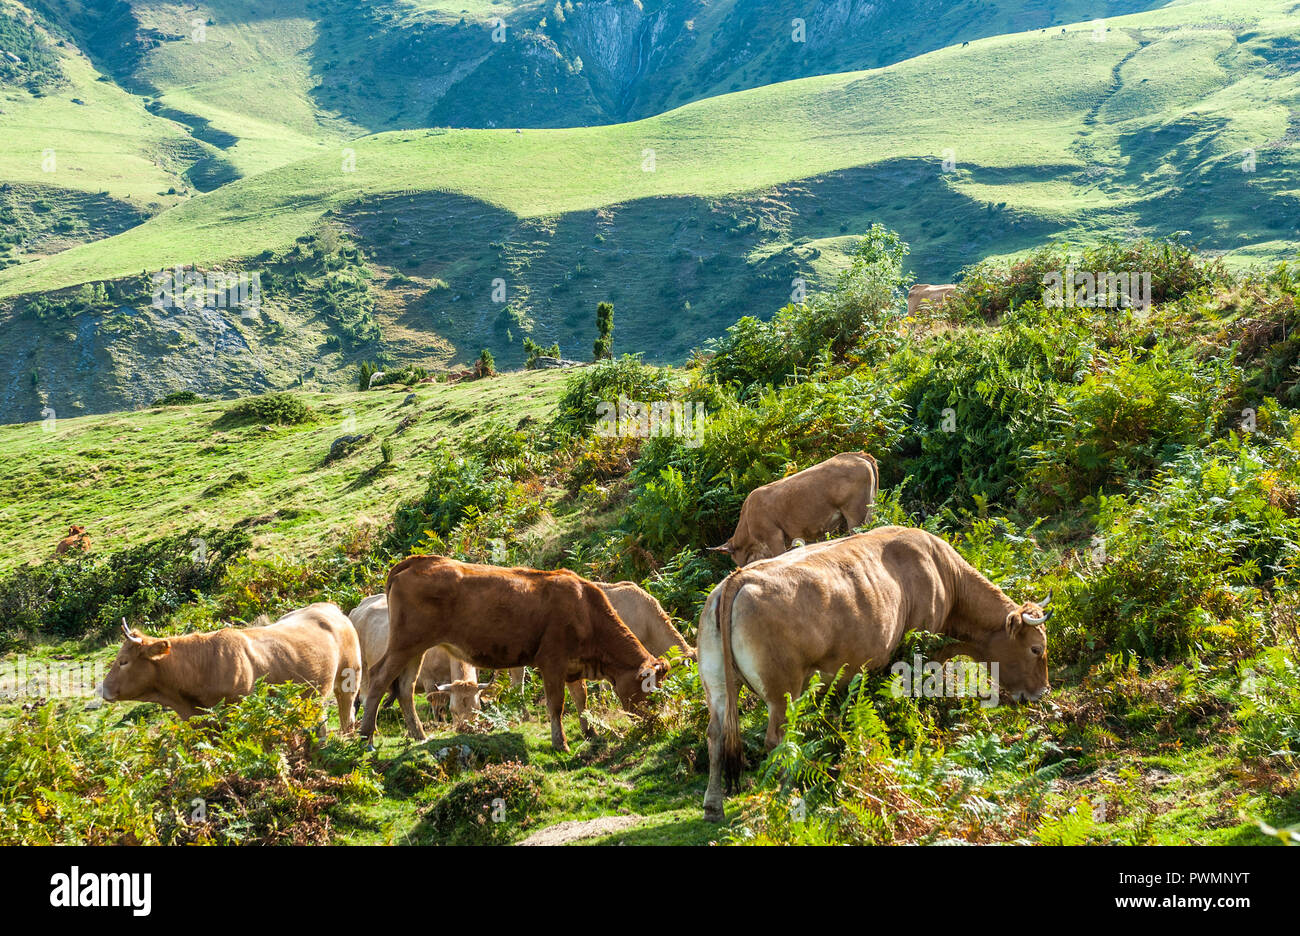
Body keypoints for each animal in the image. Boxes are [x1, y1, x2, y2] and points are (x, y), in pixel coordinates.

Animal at [349, 594, 494, 723]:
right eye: (454, 711)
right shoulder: (429, 680)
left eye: (477, 710)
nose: (464, 729)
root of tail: (358, 608)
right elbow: (437, 707)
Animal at [697, 526, 1052, 822]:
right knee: (778, 740)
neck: (944, 574)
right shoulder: (922, 649)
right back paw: (789, 798)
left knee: (716, 735)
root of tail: (737, 578)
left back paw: (713, 806)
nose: (1043, 692)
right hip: (782, 690)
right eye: (1036, 649)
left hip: (717, 684)